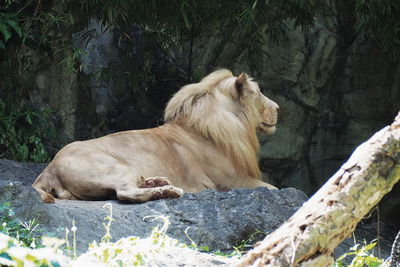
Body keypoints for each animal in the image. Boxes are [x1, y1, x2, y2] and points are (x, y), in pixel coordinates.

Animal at [32, 70, 278, 204]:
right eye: (258, 93)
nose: (278, 108)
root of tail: (48, 168)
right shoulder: (231, 181)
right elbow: (274, 189)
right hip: (113, 167)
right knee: (125, 193)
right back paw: (167, 191)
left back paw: (156, 181)